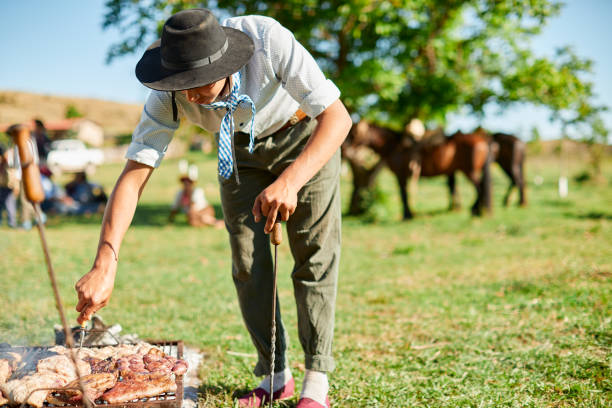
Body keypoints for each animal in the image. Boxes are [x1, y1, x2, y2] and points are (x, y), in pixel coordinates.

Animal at [350, 122, 492, 220]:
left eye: (355, 133)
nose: (349, 147)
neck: (394, 147)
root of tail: (482, 140)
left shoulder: (400, 175)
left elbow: (403, 195)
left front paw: (407, 215)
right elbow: (404, 194)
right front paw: (409, 214)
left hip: (469, 171)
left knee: (479, 188)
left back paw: (475, 210)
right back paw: (478, 211)